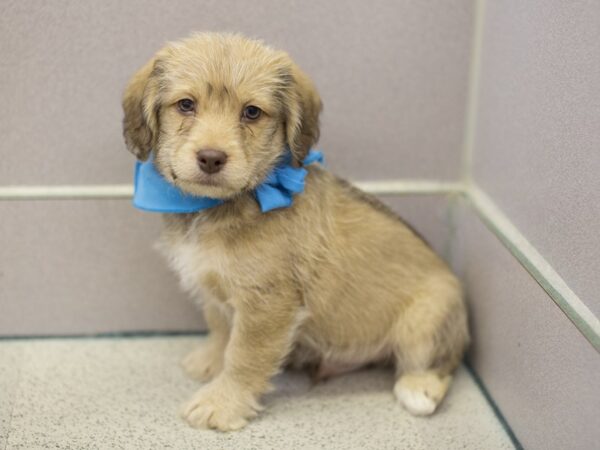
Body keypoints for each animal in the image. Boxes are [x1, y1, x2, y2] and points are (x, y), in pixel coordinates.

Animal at [120, 33, 468, 430]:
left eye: (252, 112)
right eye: (186, 104)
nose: (211, 158)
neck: (219, 206)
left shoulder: (266, 305)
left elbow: (243, 356)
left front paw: (222, 403)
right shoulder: (215, 289)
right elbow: (221, 329)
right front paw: (210, 362)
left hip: (427, 319)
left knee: (437, 362)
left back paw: (418, 389)